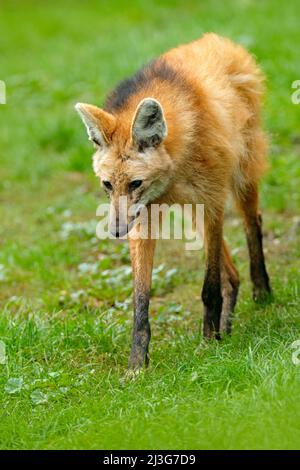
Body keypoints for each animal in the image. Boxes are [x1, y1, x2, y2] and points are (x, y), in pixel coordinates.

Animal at [75, 34, 272, 370]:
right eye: (107, 185)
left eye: (135, 183)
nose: (115, 231)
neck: (177, 165)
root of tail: (217, 39)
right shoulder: (144, 215)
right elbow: (141, 299)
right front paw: (137, 364)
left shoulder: (211, 200)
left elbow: (209, 286)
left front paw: (208, 342)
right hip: (192, 212)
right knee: (230, 272)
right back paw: (228, 323)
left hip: (240, 176)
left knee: (252, 223)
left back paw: (262, 292)